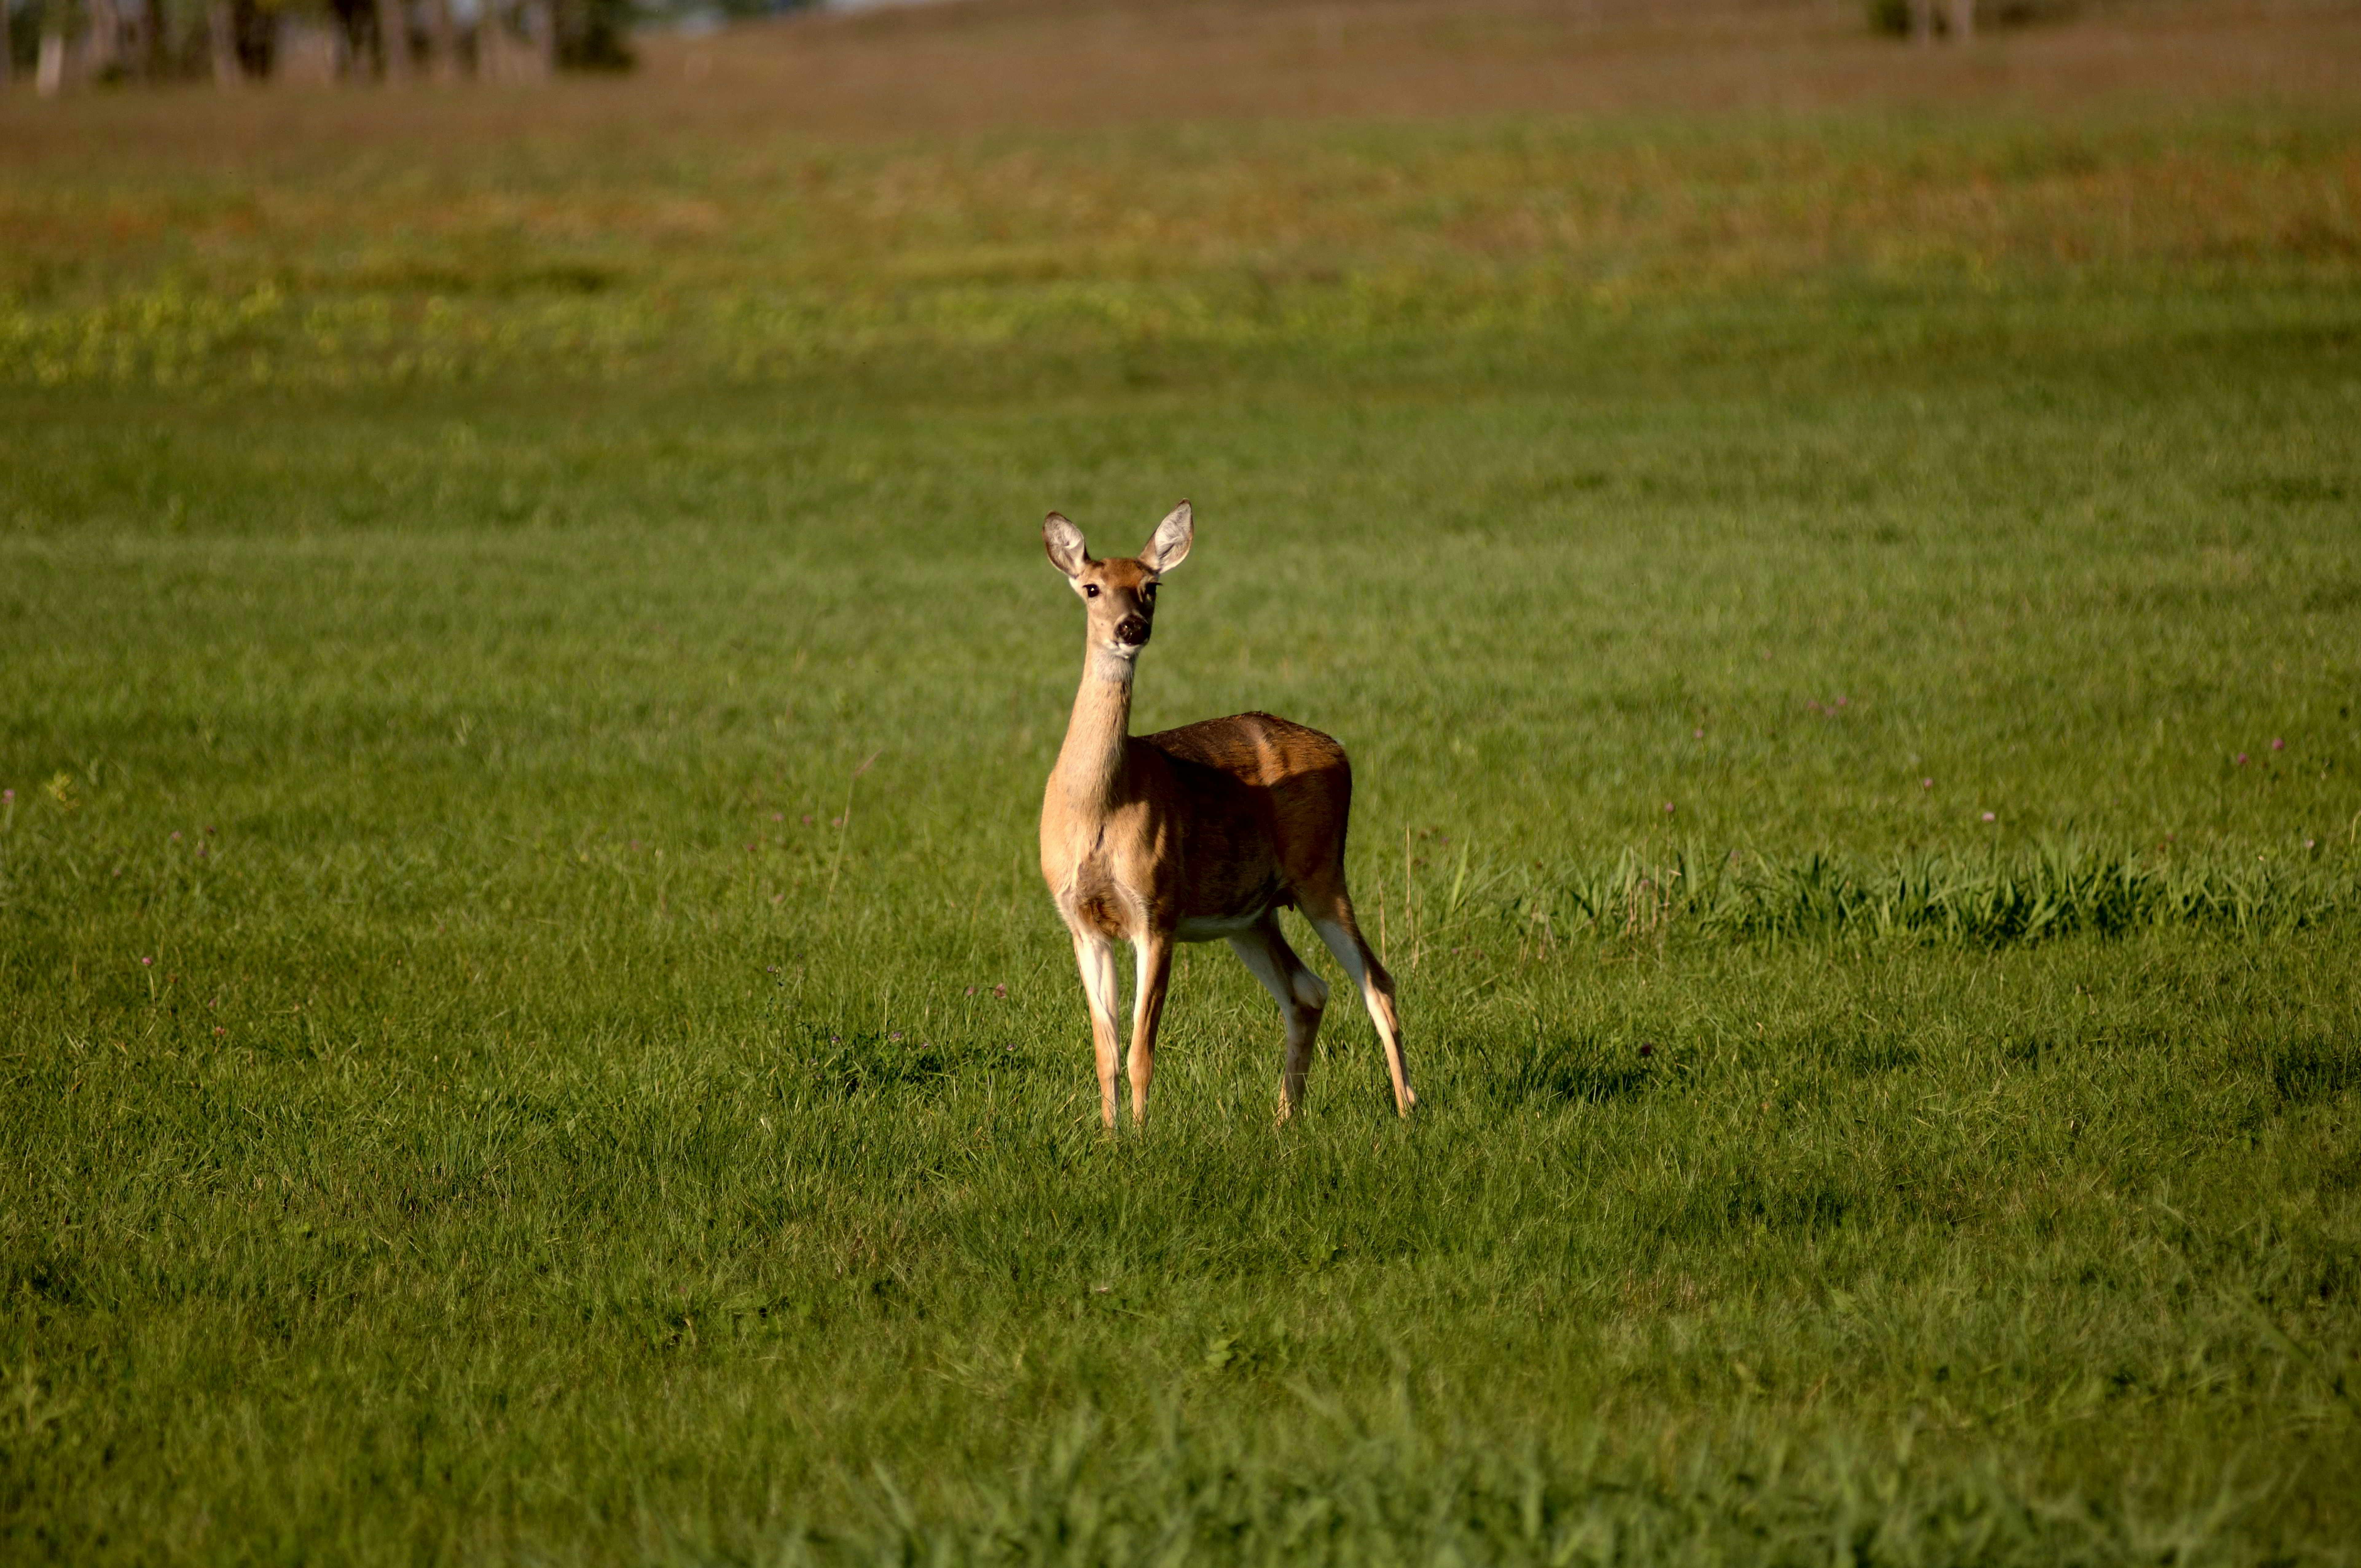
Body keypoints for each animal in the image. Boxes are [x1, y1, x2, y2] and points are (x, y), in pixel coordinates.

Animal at [1034, 503, 1398, 1129]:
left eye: (1151, 586)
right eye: (1091, 588)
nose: (1132, 628)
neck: (1099, 807)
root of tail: (1340, 750)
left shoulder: (1157, 910)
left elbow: (1141, 1048)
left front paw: (1142, 1136)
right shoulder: (1081, 920)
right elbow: (1106, 1049)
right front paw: (1109, 1136)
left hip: (1323, 871)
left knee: (1377, 982)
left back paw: (1408, 1108)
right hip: (1251, 913)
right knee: (1309, 991)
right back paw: (1285, 1119)